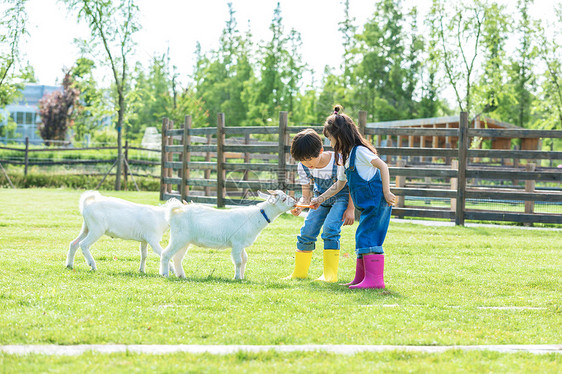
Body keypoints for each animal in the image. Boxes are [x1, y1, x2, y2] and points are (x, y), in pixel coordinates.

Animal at [159, 191, 296, 280]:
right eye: (283, 199)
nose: (295, 202)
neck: (254, 217)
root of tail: (176, 211)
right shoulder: (236, 243)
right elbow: (238, 261)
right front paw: (236, 277)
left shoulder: (241, 244)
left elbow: (245, 259)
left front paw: (242, 277)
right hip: (178, 238)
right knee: (165, 254)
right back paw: (164, 274)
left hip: (185, 241)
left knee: (177, 258)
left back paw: (181, 275)